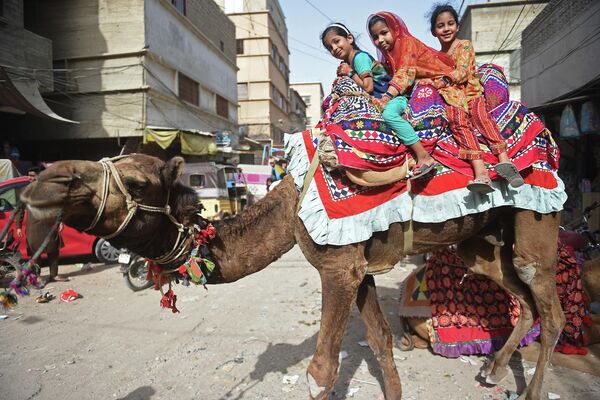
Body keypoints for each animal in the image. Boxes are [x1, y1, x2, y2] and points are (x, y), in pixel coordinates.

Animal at [18, 154, 564, 400]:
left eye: (134, 182)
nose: (46, 182)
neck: (288, 207)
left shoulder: (338, 268)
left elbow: (320, 372)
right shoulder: (359, 270)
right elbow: (382, 344)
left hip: (538, 222)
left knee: (550, 307)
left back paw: (530, 390)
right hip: (482, 241)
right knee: (519, 293)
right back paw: (492, 370)